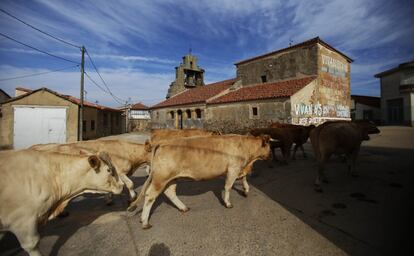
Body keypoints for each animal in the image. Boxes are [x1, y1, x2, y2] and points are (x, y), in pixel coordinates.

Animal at [128, 135, 274, 229]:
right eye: (269, 146)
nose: (271, 156)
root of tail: (162, 143)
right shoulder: (233, 168)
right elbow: (228, 186)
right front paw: (228, 203)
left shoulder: (240, 169)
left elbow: (244, 178)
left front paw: (246, 190)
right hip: (161, 178)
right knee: (150, 196)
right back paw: (145, 222)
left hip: (172, 178)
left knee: (170, 192)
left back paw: (183, 208)